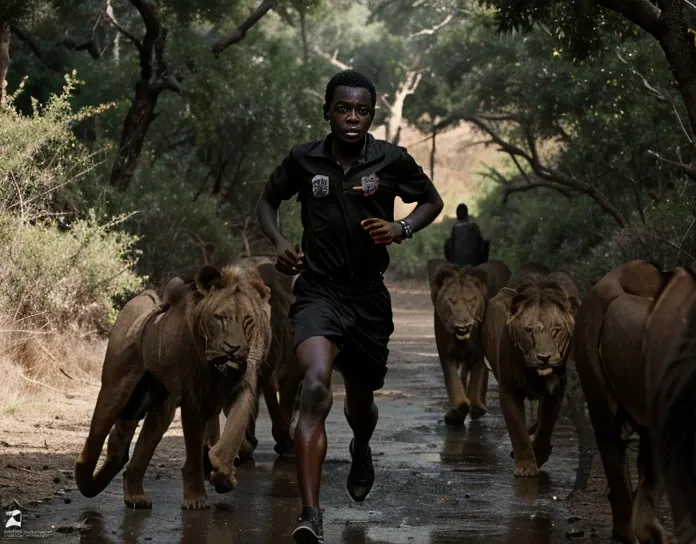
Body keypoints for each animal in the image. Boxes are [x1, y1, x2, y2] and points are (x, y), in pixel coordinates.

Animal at [74, 264, 272, 510]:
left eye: (248, 320)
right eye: (219, 318)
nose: (232, 348)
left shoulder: (241, 387)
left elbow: (235, 430)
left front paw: (222, 476)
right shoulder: (193, 397)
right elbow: (194, 452)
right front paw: (196, 498)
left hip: (159, 400)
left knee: (127, 439)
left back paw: (134, 494)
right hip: (115, 388)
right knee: (96, 436)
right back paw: (85, 479)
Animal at [426, 258, 512, 428]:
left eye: (471, 300)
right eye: (452, 301)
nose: (463, 324)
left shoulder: (480, 355)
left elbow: (476, 387)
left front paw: (476, 408)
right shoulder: (447, 355)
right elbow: (456, 389)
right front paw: (454, 415)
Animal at [482, 262, 580, 476]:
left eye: (556, 329)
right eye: (529, 330)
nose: (544, 357)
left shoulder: (555, 392)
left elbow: (545, 426)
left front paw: (541, 454)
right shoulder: (509, 390)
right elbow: (517, 430)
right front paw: (526, 466)